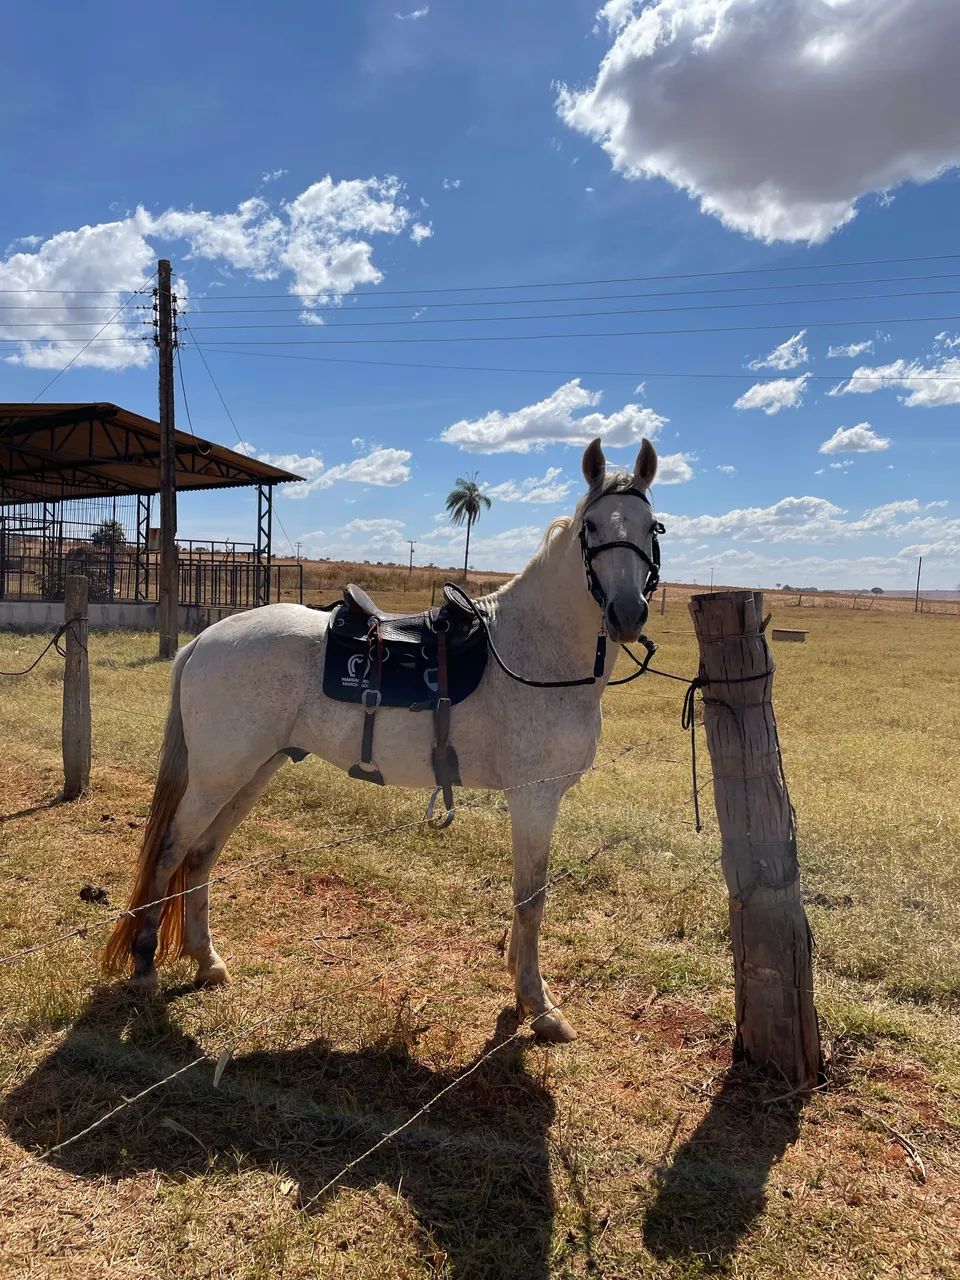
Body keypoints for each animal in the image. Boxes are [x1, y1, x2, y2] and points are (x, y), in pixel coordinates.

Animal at [102, 437, 661, 1043]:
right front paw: (540, 1007)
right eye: (591, 527)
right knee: (170, 852)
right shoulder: (534, 798)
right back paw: (145, 967)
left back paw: (207, 962)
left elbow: (524, 899)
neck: (534, 652)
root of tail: (204, 639)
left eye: (652, 525)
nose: (627, 613)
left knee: (200, 856)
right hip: (216, 777)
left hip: (251, 772)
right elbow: (532, 899)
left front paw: (520, 981)